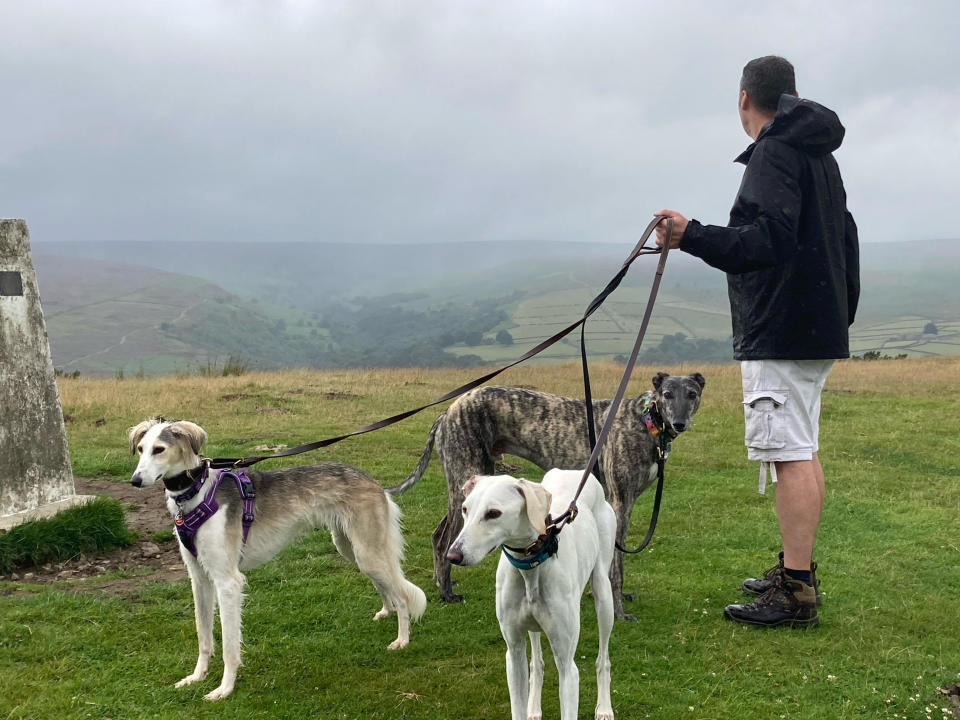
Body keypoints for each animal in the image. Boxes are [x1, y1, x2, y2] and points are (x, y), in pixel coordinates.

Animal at [128, 420, 428, 700]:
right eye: (141, 449)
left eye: (159, 449)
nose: (135, 481)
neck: (197, 491)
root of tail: (373, 481)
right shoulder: (199, 579)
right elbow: (204, 636)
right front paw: (196, 677)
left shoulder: (228, 582)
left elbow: (229, 646)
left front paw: (224, 689)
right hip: (352, 549)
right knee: (387, 586)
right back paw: (386, 610)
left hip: (366, 552)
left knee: (402, 595)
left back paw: (401, 640)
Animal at [444, 470, 616, 720]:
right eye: (465, 509)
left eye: (493, 513)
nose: (453, 556)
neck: (530, 565)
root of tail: (575, 472)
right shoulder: (514, 653)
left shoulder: (567, 666)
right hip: (533, 625)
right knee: (536, 662)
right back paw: (533, 706)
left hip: (604, 595)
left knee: (603, 658)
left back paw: (604, 707)